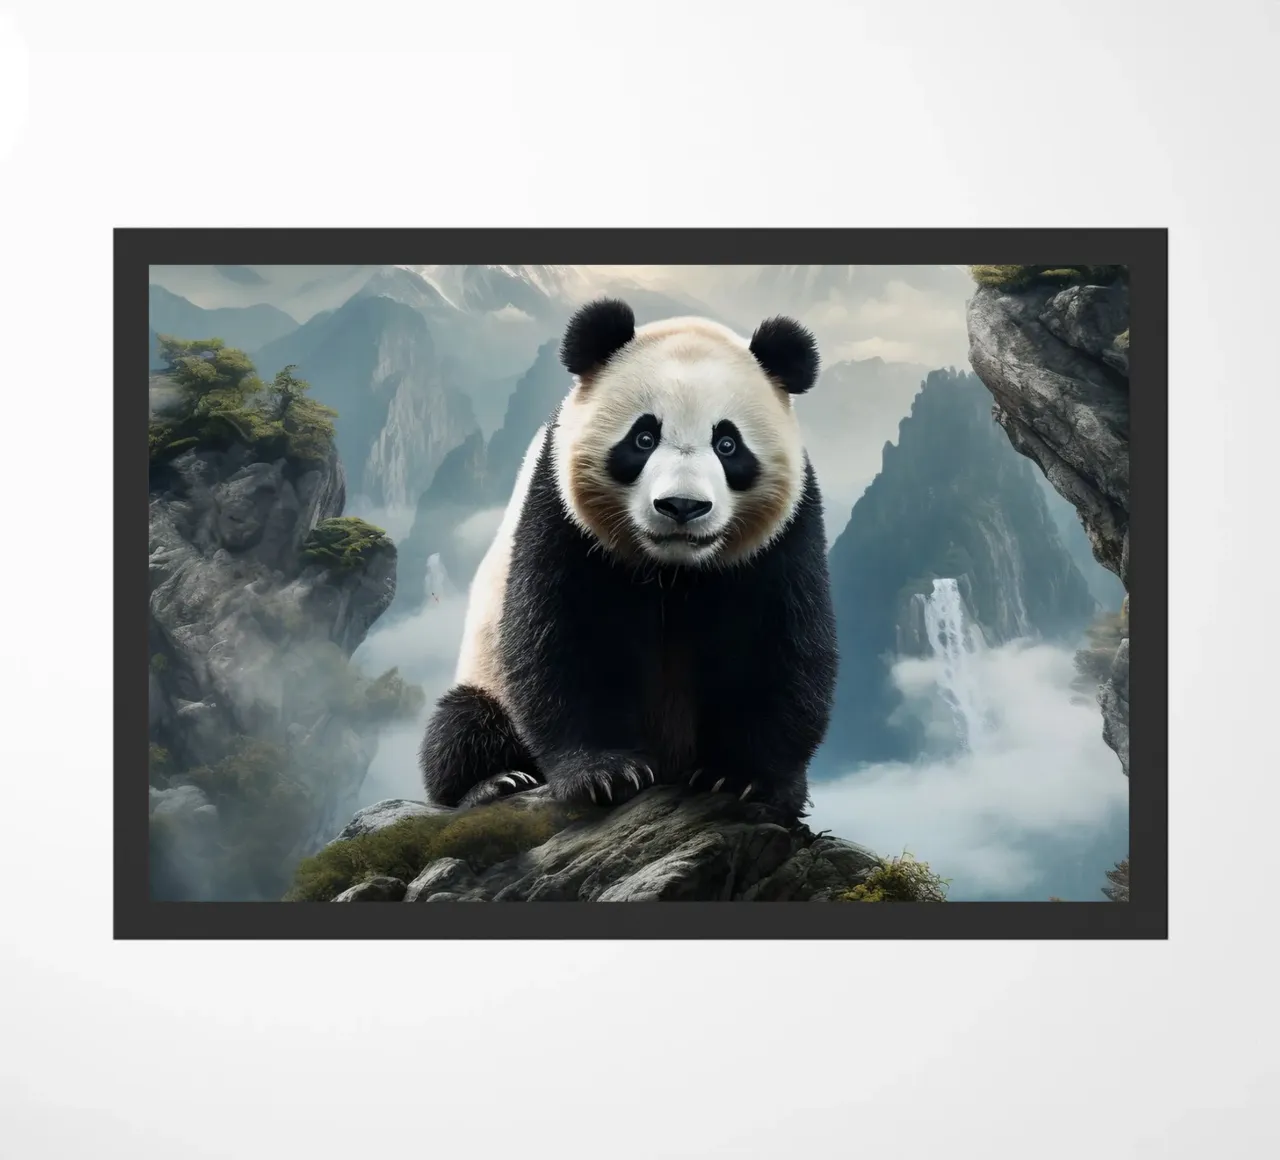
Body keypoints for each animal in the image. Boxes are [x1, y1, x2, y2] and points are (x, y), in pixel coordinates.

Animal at [418, 297, 838, 821]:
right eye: (643, 438)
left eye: (727, 444)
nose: (682, 506)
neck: (672, 570)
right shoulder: (561, 511)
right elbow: (563, 634)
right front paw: (605, 774)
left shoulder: (785, 533)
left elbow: (781, 641)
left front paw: (742, 778)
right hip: (486, 676)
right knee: (462, 725)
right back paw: (494, 782)